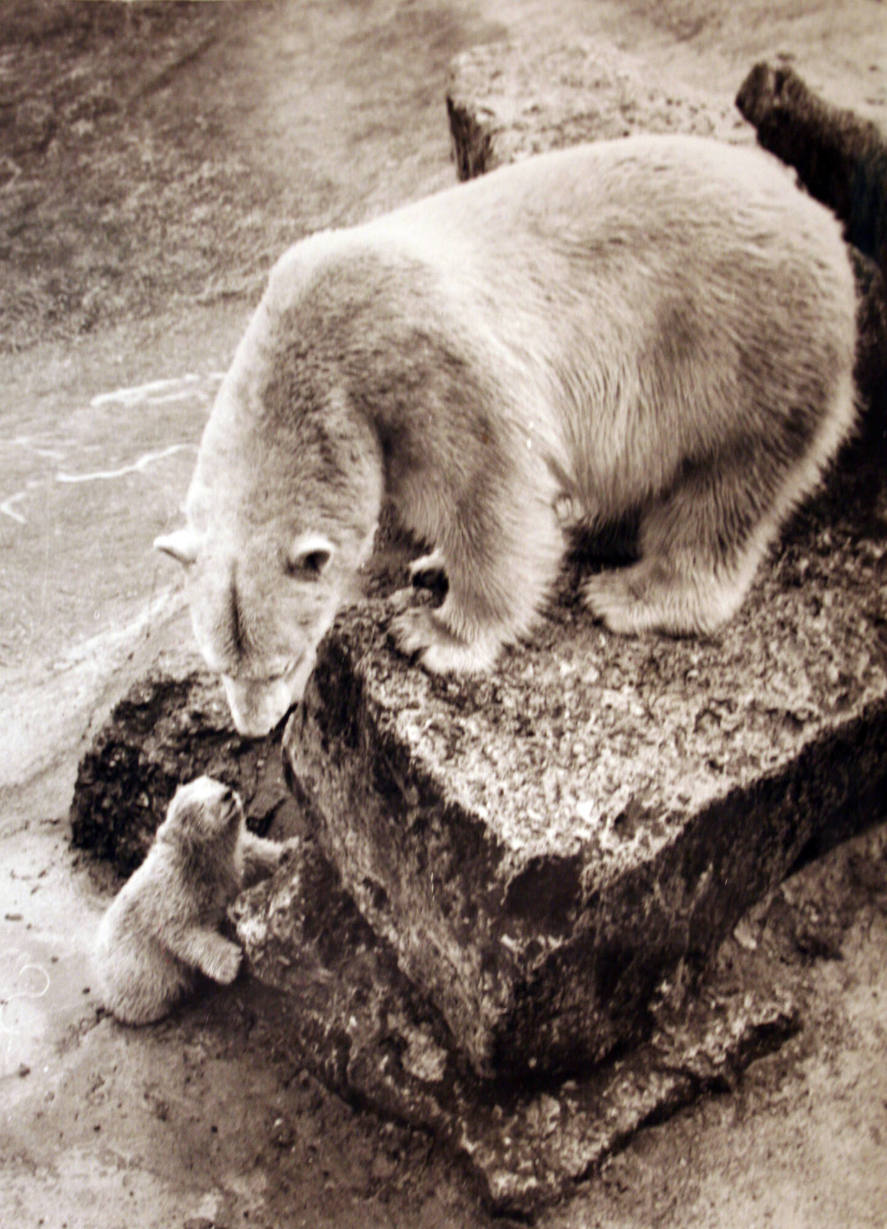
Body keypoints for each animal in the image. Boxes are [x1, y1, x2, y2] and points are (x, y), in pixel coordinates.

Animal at [155, 134, 855, 732]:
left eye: (286, 661)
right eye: (219, 665)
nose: (255, 728)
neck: (317, 350)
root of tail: (825, 222)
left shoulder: (429, 368)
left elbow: (491, 492)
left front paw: (433, 634)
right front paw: (429, 563)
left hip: (740, 356)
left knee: (721, 492)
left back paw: (633, 593)